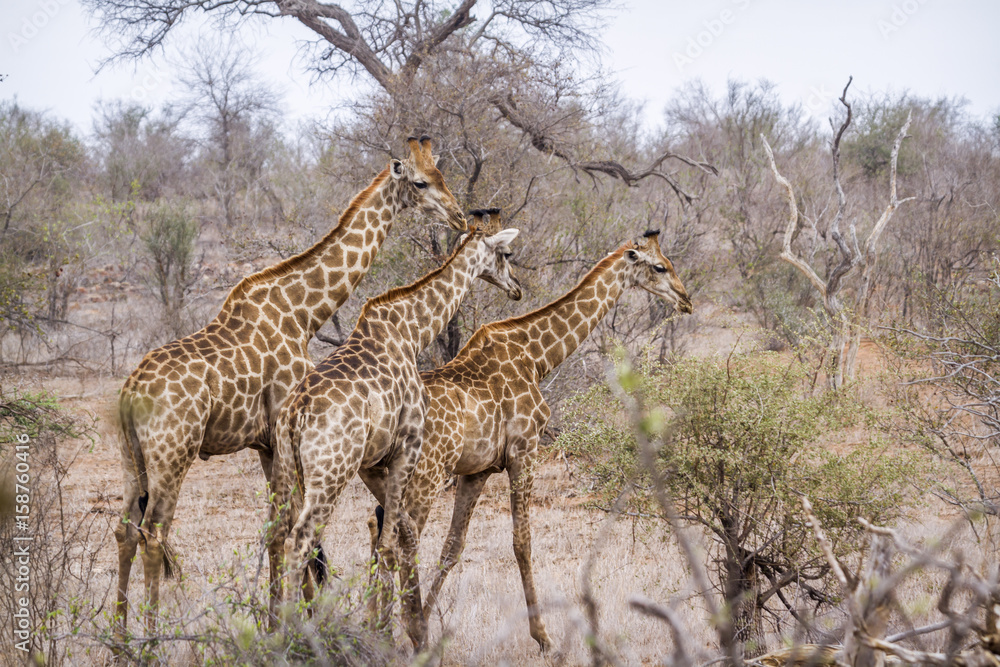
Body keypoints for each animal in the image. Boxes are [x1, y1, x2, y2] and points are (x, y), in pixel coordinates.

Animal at [114, 136, 465, 638]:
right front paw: (299, 623)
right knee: (155, 533)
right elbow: (298, 534)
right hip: (173, 454)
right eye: (420, 183)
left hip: (132, 457)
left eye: (442, 175)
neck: (302, 311)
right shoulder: (287, 428)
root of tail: (127, 396)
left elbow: (278, 531)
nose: (458, 216)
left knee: (125, 530)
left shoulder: (267, 443)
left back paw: (120, 634)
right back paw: (152, 637)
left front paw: (280, 620)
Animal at [269, 217, 522, 649]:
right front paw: (391, 632)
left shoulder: (375, 461)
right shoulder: (409, 444)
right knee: (298, 540)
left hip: (288, 467)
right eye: (505, 253)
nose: (517, 288)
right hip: (331, 472)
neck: (411, 331)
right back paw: (294, 638)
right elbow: (391, 538)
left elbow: (393, 531)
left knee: (282, 534)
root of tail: (294, 414)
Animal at [363, 230, 692, 652]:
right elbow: (522, 541)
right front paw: (544, 637)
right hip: (425, 475)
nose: (686, 299)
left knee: (380, 534)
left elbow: (453, 547)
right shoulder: (525, 449)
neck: (538, 356)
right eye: (660, 267)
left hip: (386, 478)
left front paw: (427, 622)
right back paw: (397, 631)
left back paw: (378, 628)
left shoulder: (477, 470)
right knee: (401, 540)